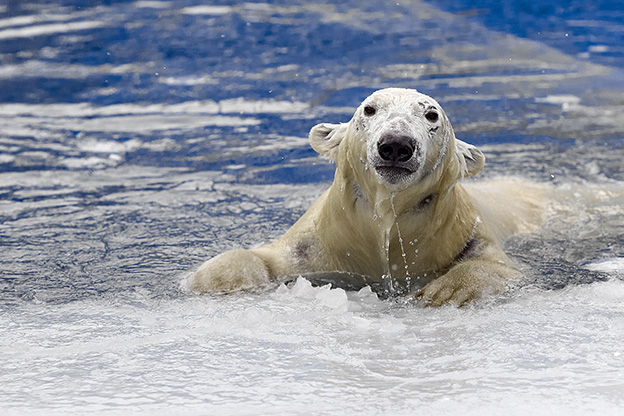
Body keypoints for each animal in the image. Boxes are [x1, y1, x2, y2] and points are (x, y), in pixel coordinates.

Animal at [188, 87, 544, 306]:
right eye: (369, 109)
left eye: (432, 115)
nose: (396, 144)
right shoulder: (318, 248)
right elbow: (265, 257)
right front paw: (224, 281)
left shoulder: (467, 235)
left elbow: (502, 268)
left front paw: (446, 291)